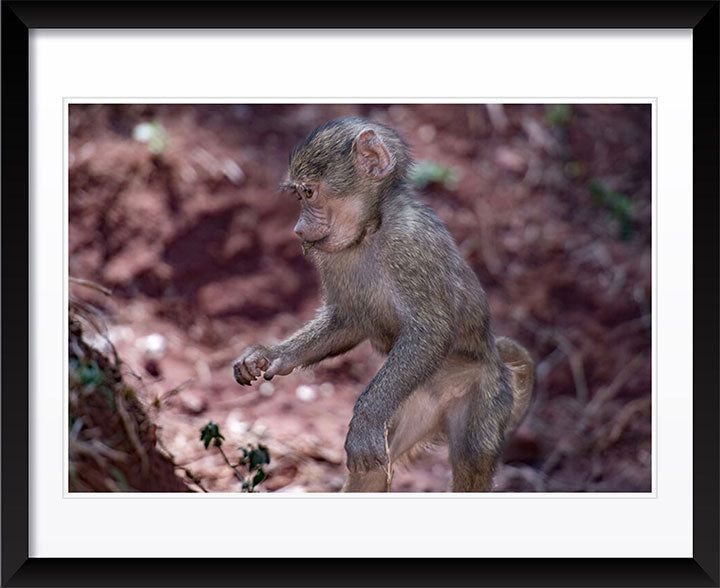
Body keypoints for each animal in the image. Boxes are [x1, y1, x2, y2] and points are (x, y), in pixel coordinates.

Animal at [233, 117, 534, 492]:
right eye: (300, 195)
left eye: (309, 192)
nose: (298, 229)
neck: (370, 230)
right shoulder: (330, 257)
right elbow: (347, 321)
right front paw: (269, 356)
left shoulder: (409, 243)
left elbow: (431, 332)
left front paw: (362, 422)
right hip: (409, 404)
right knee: (373, 470)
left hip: (481, 390)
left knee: (472, 458)